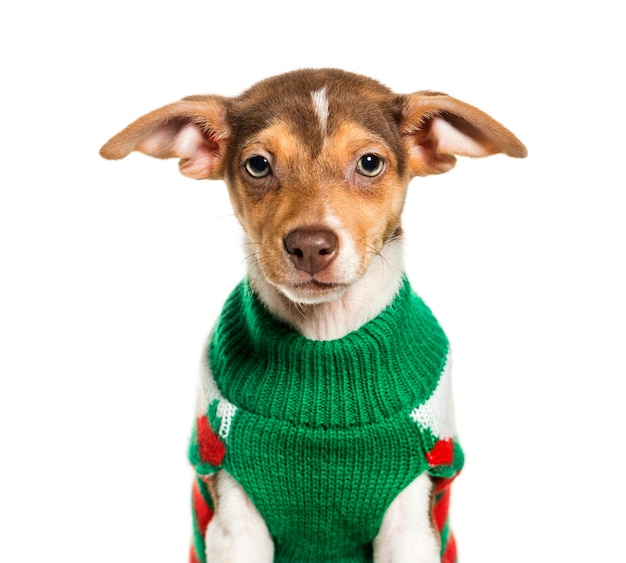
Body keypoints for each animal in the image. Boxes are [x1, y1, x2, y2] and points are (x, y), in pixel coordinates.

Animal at [100, 70, 524, 563]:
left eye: (370, 163)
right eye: (258, 165)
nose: (309, 245)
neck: (325, 345)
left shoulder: (412, 519)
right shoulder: (233, 511)